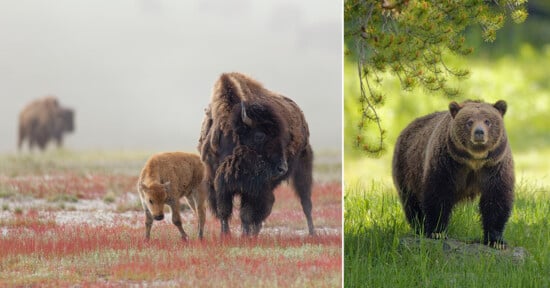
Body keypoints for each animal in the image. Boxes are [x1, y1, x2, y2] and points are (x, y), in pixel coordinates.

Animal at [201, 72, 316, 236]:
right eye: (259, 135)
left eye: (282, 136)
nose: (282, 168)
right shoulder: (217, 182)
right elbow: (224, 211)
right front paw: (225, 235)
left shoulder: (253, 189)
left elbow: (246, 214)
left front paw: (244, 236)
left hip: (303, 166)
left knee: (305, 202)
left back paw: (313, 233)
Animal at [392, 100, 516, 249]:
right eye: (469, 121)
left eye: (487, 121)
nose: (479, 132)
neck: (474, 160)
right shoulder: (447, 163)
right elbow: (438, 194)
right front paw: (436, 232)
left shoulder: (494, 166)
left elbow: (496, 199)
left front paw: (496, 241)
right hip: (407, 168)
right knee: (412, 202)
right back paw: (419, 227)